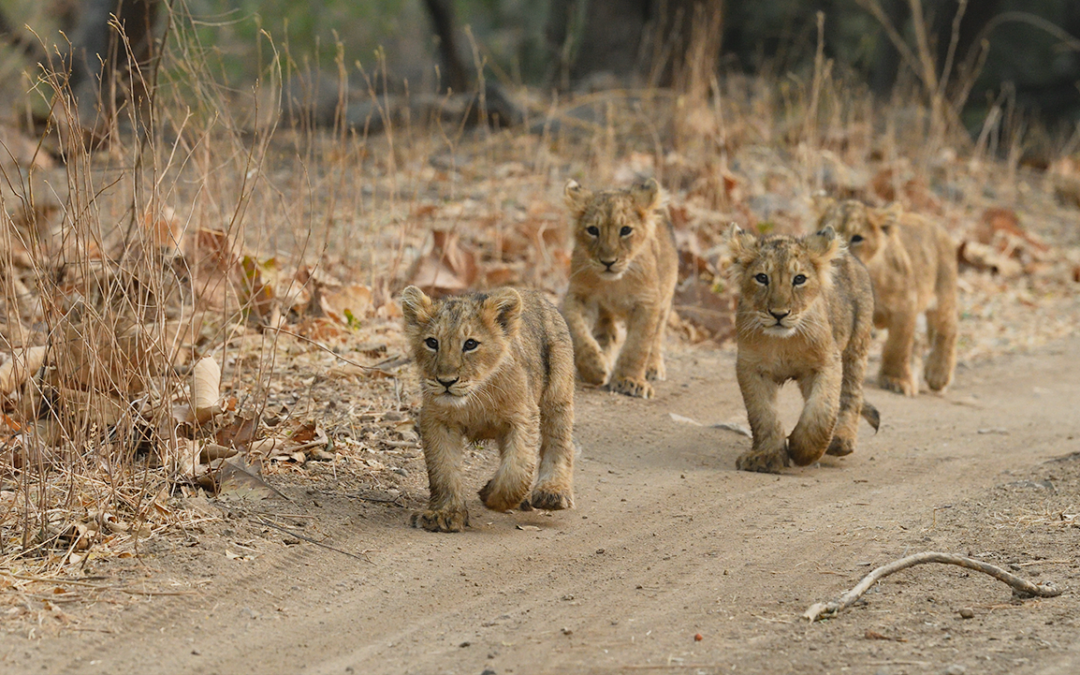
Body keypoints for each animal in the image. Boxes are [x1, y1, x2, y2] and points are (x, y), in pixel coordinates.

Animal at [400, 286, 576, 532]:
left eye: (470, 344)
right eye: (432, 342)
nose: (446, 381)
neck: (476, 396)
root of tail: (534, 292)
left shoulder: (523, 416)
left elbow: (517, 469)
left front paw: (492, 496)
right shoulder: (437, 420)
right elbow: (443, 469)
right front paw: (444, 514)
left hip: (557, 394)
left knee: (559, 441)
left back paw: (552, 492)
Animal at [562, 178, 678, 399]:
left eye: (625, 230)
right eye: (593, 230)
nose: (608, 262)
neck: (614, 284)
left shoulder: (647, 302)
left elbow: (638, 345)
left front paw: (630, 381)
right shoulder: (580, 294)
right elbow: (576, 328)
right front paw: (593, 367)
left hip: (666, 297)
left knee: (657, 334)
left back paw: (653, 367)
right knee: (608, 333)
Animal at [726, 225, 879, 473]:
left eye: (799, 279)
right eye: (762, 278)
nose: (779, 314)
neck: (784, 343)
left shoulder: (827, 362)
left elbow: (821, 409)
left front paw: (803, 450)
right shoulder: (750, 367)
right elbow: (763, 413)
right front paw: (766, 456)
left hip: (856, 347)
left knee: (850, 396)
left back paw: (840, 440)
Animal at [817, 198, 958, 395]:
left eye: (857, 238)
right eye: (823, 233)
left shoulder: (905, 307)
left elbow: (898, 345)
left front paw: (896, 379)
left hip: (943, 294)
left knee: (948, 328)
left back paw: (938, 375)